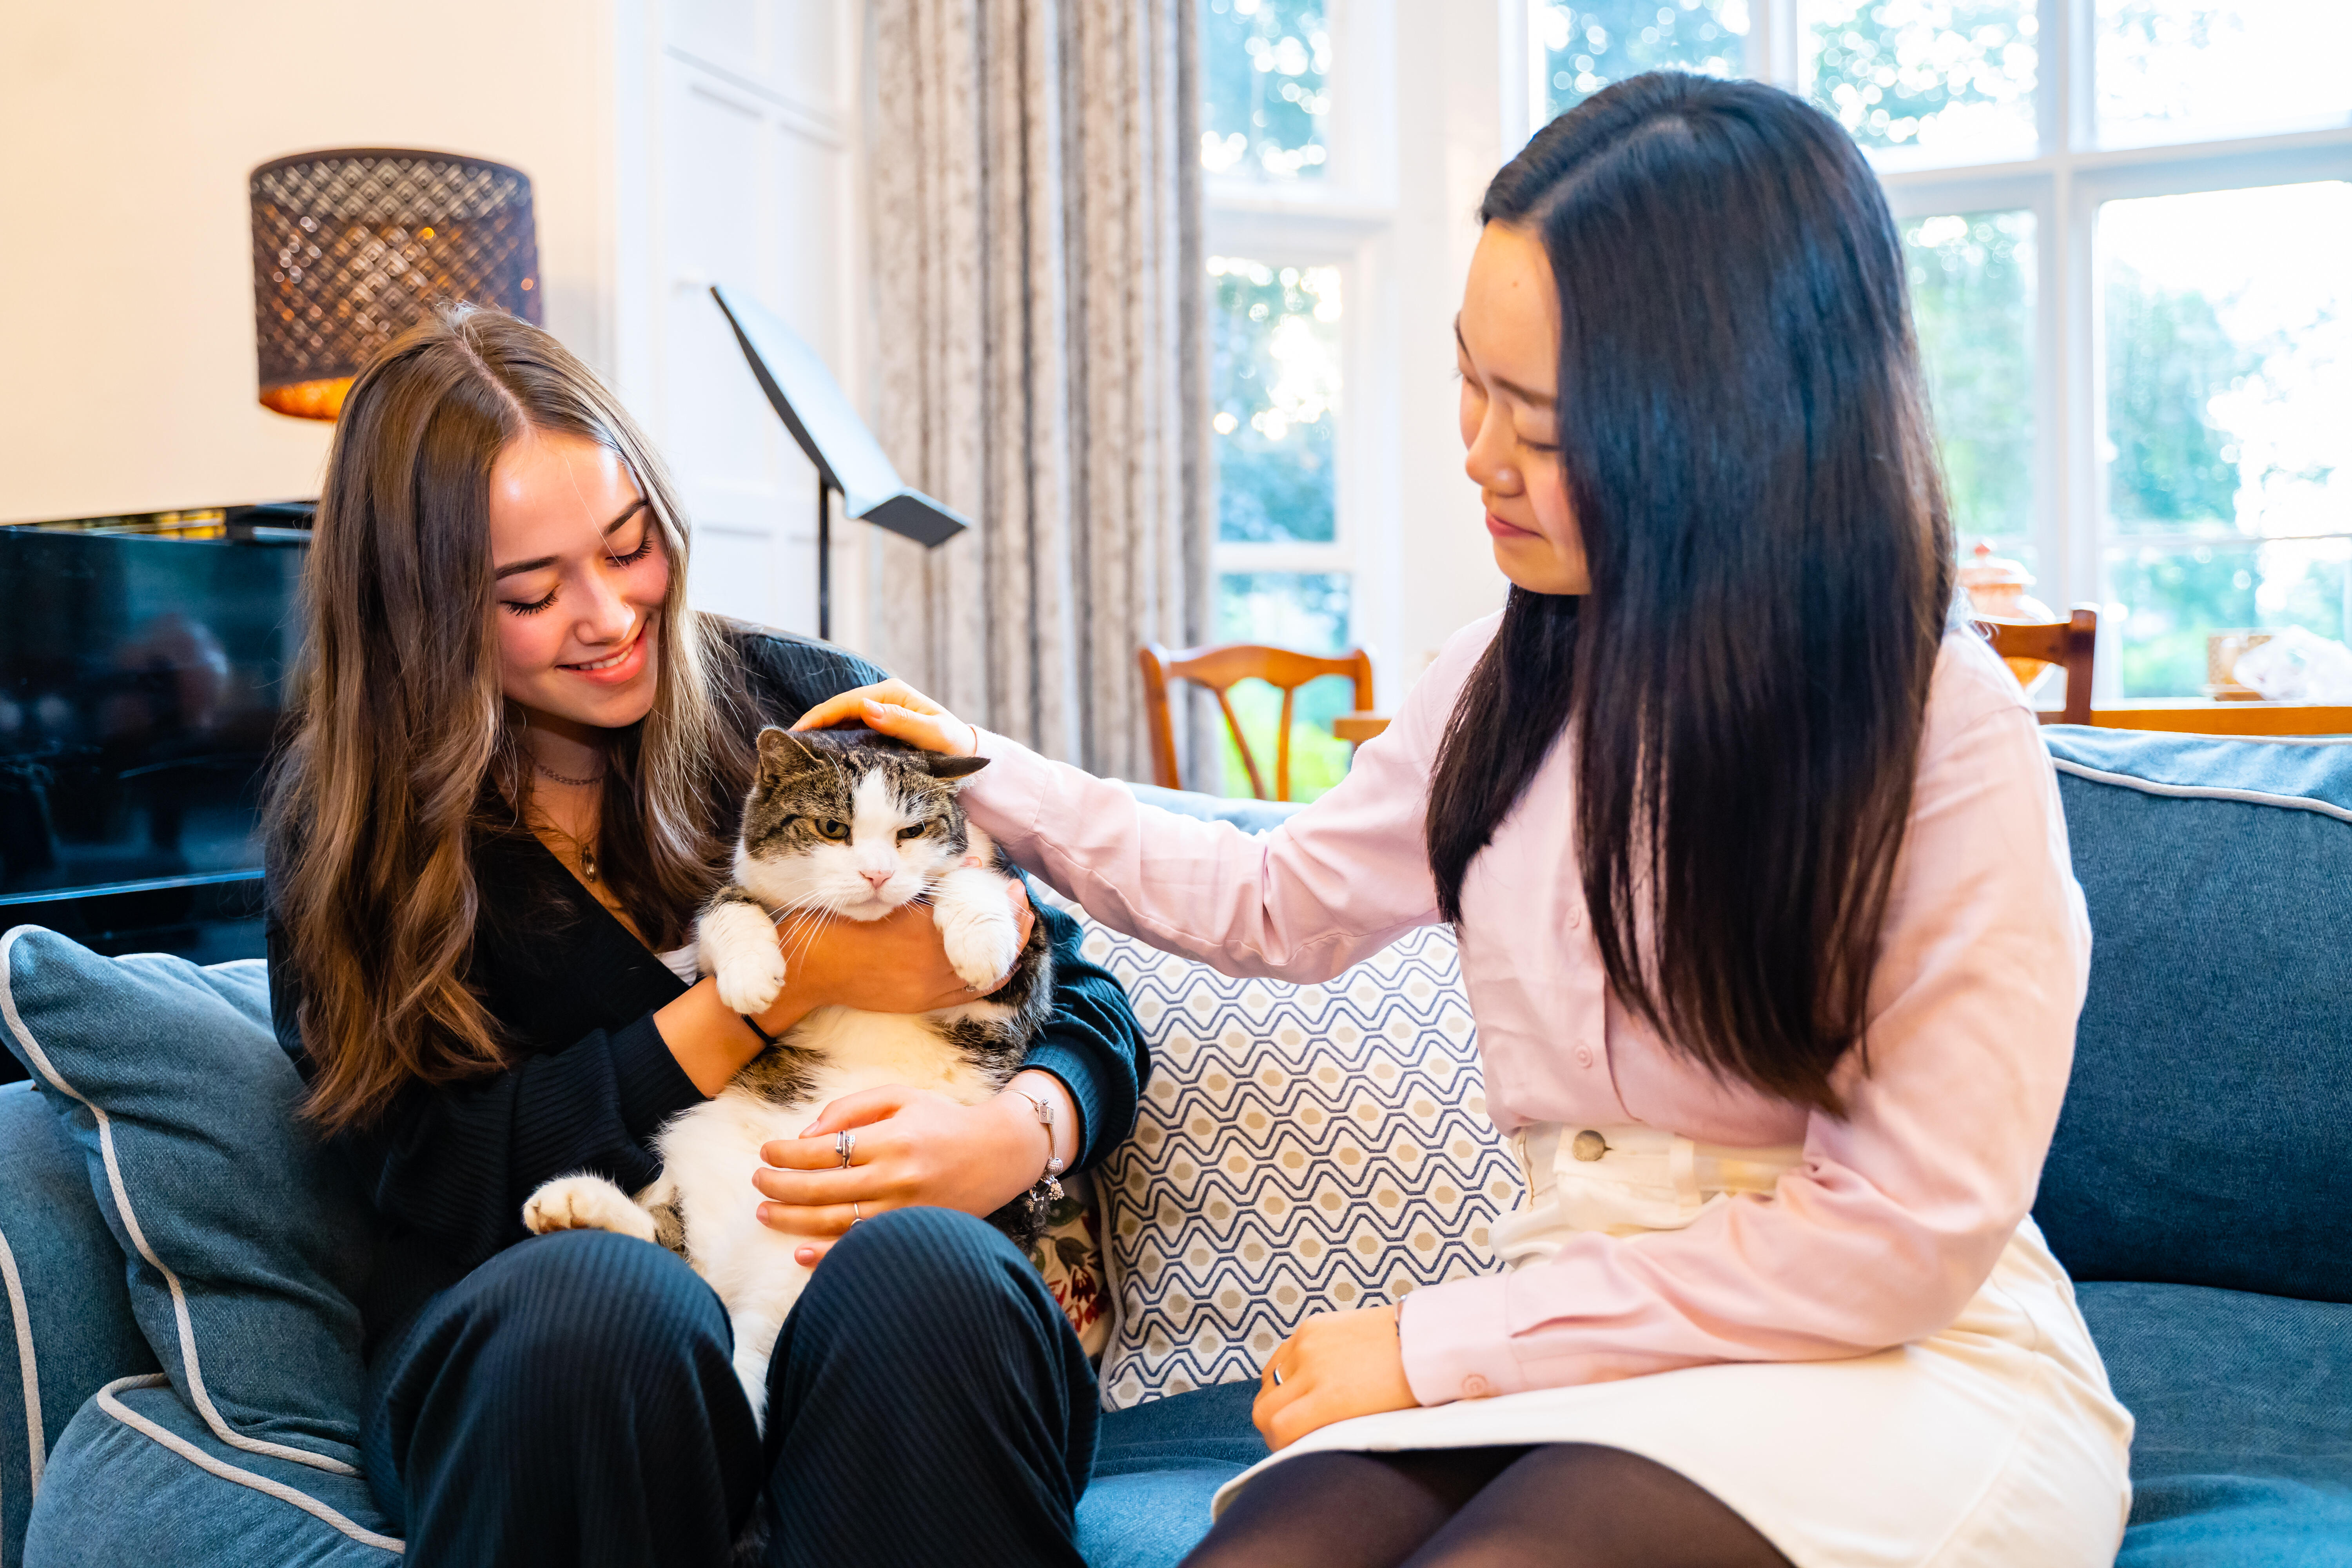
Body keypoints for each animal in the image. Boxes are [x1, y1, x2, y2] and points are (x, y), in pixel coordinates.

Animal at [534, 724, 1058, 1420]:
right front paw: (752, 976)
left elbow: (973, 888)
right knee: (672, 1251)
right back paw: (571, 1204)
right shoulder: (714, 939)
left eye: (912, 832)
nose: (877, 874)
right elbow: (727, 906)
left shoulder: (1018, 983)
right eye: (833, 828)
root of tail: (736, 1288)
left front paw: (977, 944)